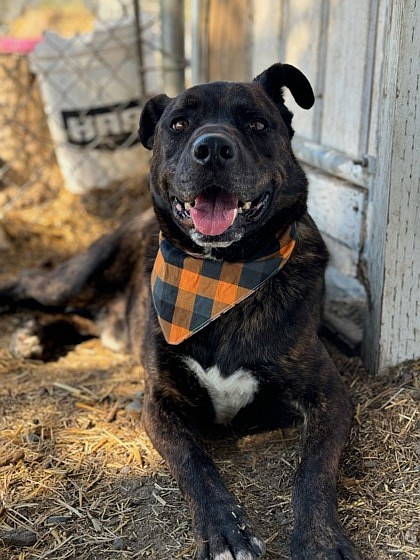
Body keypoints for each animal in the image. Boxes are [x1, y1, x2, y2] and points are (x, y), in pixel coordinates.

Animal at [0, 63, 360, 556]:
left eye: (256, 124)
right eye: (178, 125)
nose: (212, 149)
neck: (221, 274)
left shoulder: (330, 394)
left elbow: (314, 468)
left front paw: (320, 539)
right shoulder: (160, 403)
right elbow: (195, 462)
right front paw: (227, 530)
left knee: (82, 319)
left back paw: (37, 335)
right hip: (75, 277)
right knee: (29, 283)